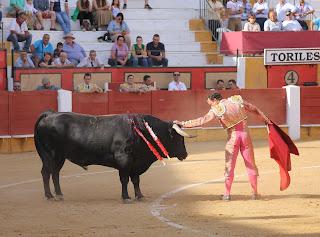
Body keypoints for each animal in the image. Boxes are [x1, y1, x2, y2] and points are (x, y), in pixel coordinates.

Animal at [34, 112, 192, 201]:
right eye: (179, 138)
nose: (185, 154)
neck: (141, 131)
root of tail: (48, 115)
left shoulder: (136, 163)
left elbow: (136, 180)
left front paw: (140, 196)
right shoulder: (124, 160)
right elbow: (124, 179)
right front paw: (126, 197)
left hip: (60, 156)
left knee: (54, 173)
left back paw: (59, 194)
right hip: (51, 154)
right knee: (46, 172)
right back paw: (49, 196)